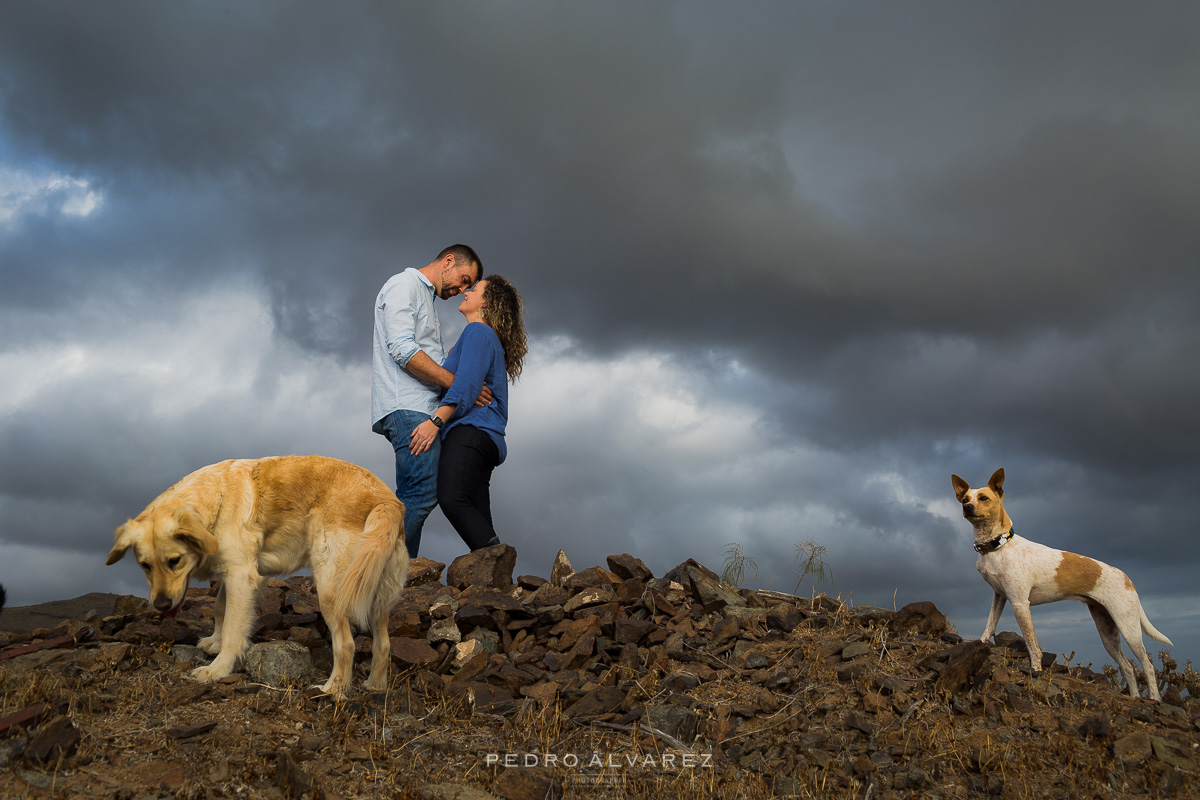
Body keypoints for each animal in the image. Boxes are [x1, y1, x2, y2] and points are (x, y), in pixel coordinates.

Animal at [108, 455, 408, 695]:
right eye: (144, 565)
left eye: (174, 561)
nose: (161, 605)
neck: (215, 501)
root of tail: (388, 501)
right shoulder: (235, 572)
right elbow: (220, 608)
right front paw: (214, 642)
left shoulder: (242, 575)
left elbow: (233, 627)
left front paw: (217, 669)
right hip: (377, 596)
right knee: (383, 645)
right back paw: (375, 686)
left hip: (330, 590)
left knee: (345, 644)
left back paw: (332, 690)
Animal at [955, 470, 1171, 700]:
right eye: (965, 499)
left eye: (983, 498)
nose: (967, 507)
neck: (999, 546)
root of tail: (1127, 578)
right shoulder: (1000, 597)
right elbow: (989, 624)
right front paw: (980, 643)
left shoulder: (1020, 603)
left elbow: (1031, 643)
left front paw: (1036, 670)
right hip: (1107, 632)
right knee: (1128, 666)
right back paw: (1134, 697)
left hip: (1129, 628)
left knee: (1147, 665)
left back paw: (1155, 698)